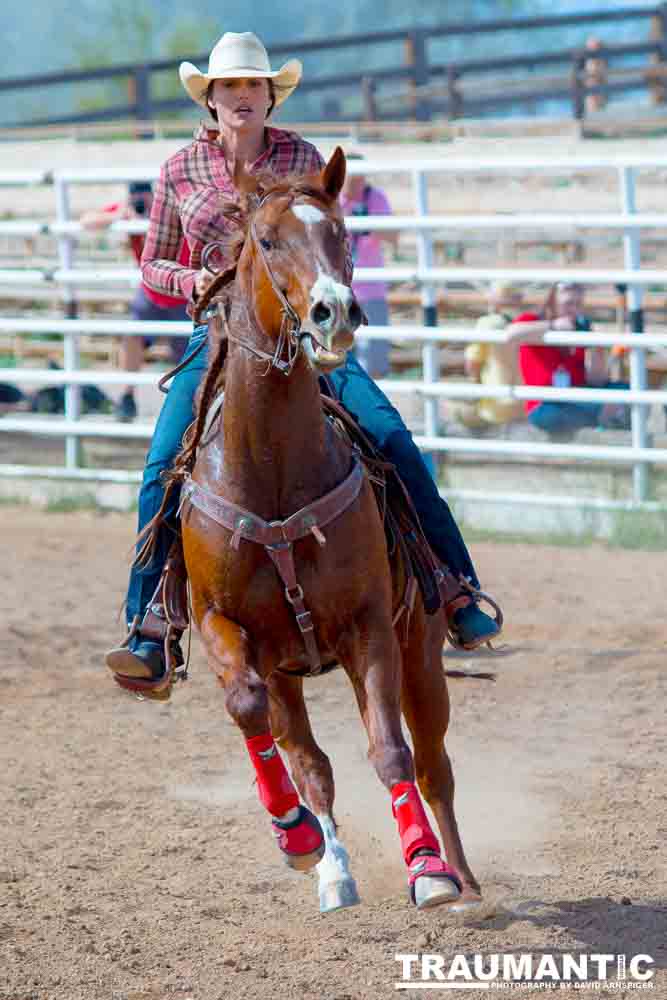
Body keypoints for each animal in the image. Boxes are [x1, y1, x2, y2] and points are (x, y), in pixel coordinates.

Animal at [177, 148, 480, 916]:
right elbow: (250, 710)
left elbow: (391, 751)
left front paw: (427, 869)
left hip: (421, 647)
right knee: (307, 759)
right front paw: (296, 836)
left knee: (433, 763)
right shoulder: (220, 624)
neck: (273, 468)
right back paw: (330, 866)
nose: (334, 312)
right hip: (287, 669)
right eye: (266, 240)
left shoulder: (370, 625)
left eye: (342, 232)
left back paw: (462, 876)